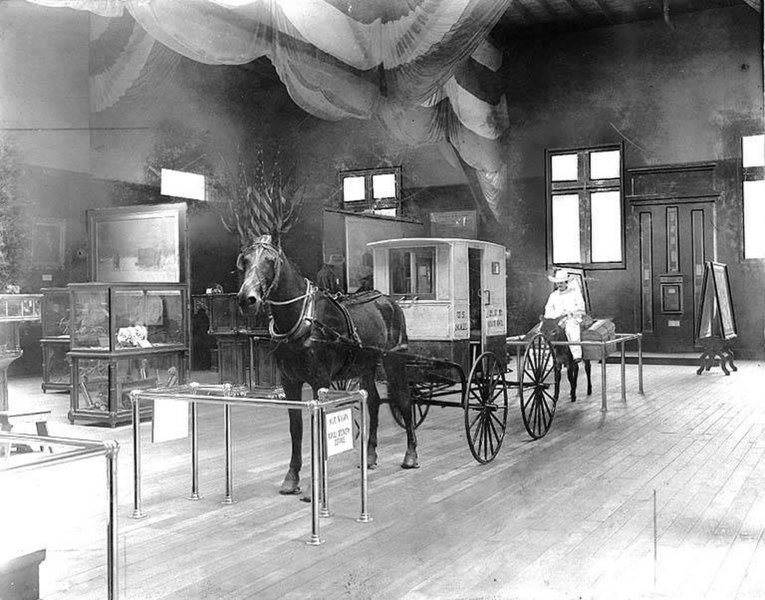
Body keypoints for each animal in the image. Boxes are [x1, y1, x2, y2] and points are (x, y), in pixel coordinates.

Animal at [237, 232, 418, 494]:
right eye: (245, 261)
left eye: (270, 261)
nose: (247, 299)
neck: (301, 318)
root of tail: (388, 300)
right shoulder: (289, 382)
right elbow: (296, 428)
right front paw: (292, 478)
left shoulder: (319, 381)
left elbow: (320, 425)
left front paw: (316, 483)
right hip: (366, 365)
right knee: (373, 402)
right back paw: (370, 455)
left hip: (394, 359)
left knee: (404, 399)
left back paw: (411, 455)